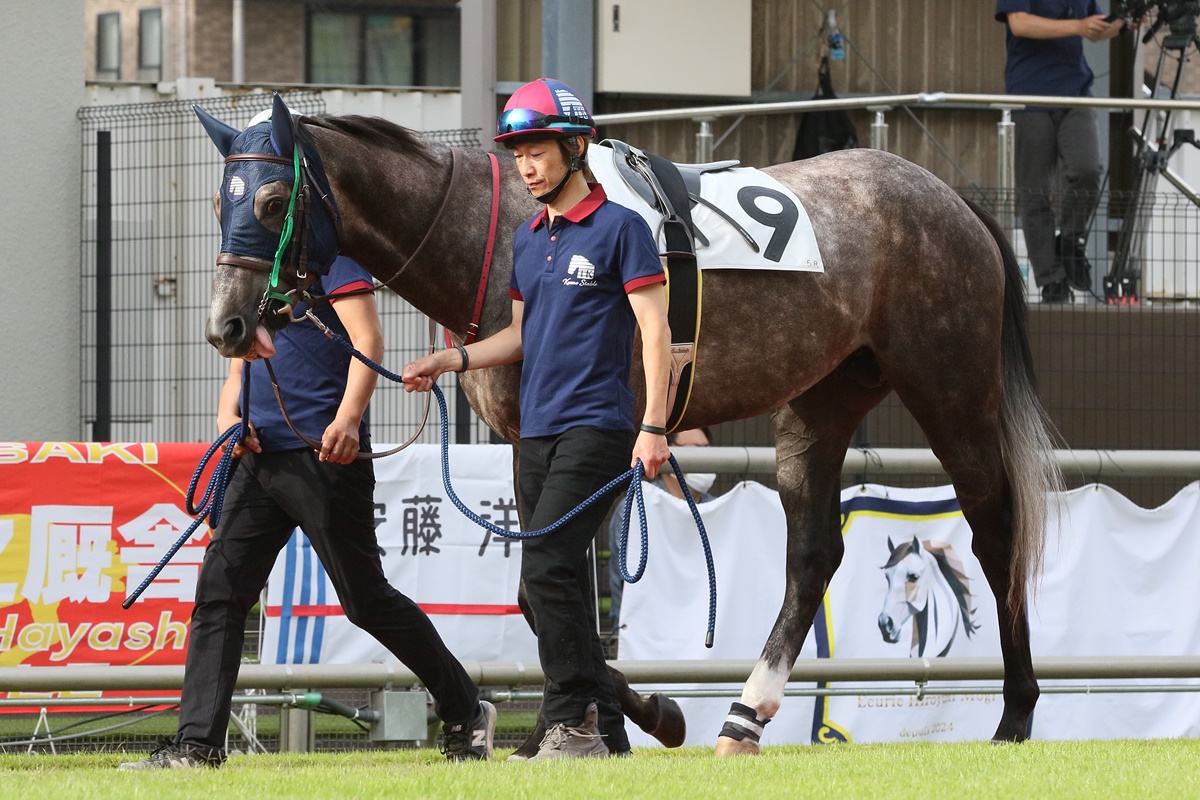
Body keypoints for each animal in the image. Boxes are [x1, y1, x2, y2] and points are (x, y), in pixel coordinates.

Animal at [195, 93, 1063, 754]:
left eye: (269, 202)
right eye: (218, 202)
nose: (227, 326)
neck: (498, 229)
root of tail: (949, 198)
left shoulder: (608, 442)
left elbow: (552, 592)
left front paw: (630, 718)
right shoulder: (531, 440)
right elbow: (547, 595)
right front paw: (605, 721)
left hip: (950, 390)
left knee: (994, 534)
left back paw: (1016, 713)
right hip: (822, 399)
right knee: (814, 554)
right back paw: (745, 714)